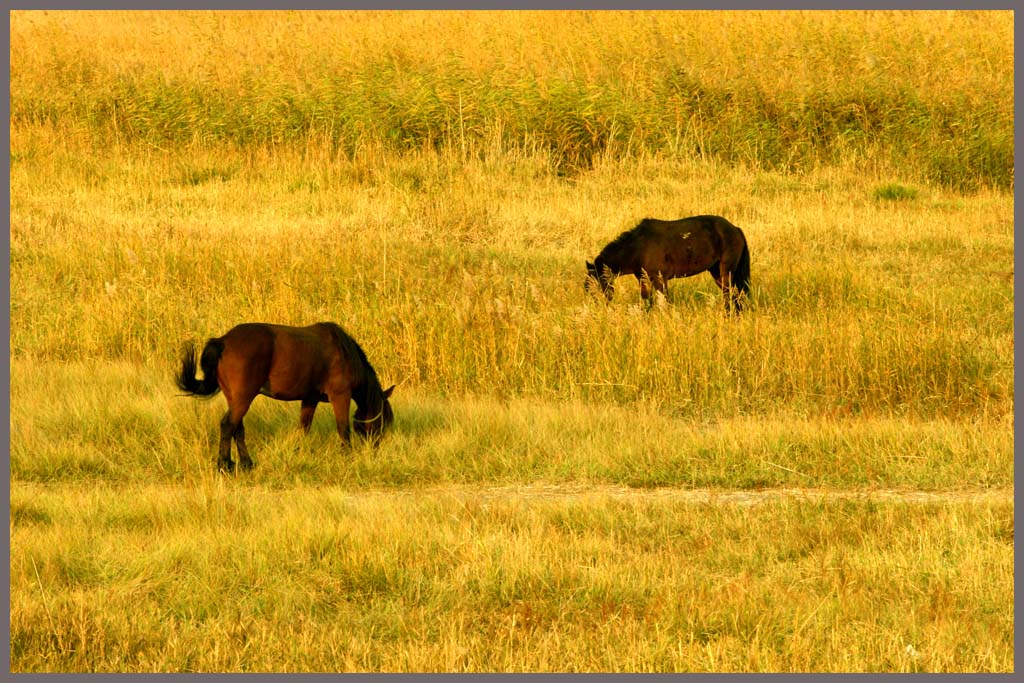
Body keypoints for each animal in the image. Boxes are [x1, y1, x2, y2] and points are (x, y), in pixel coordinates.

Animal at [178, 323, 393, 473]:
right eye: (383, 419)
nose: (376, 450)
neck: (343, 352)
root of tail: (223, 341)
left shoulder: (310, 399)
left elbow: (304, 428)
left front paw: (298, 454)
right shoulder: (340, 395)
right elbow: (343, 428)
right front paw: (347, 457)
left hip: (234, 397)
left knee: (237, 428)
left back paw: (246, 463)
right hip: (244, 397)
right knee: (228, 424)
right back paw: (224, 465)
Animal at [585, 215, 753, 311]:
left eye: (595, 283)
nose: (597, 307)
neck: (639, 246)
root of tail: (735, 229)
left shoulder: (660, 279)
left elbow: (663, 303)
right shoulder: (644, 280)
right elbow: (647, 302)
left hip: (726, 271)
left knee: (730, 295)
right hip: (716, 272)